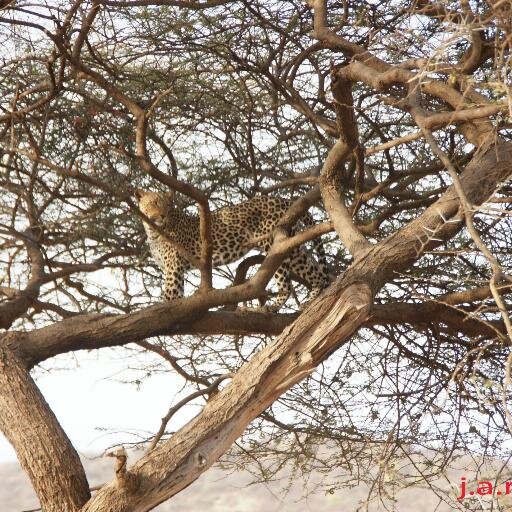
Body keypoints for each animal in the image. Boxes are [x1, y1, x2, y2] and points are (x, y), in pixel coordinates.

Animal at [135, 187, 328, 308]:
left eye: (167, 205)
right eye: (154, 203)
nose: (162, 215)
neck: (152, 231)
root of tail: (283, 200)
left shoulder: (173, 266)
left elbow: (170, 294)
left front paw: (161, 309)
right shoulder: (171, 267)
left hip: (275, 244)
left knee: (286, 284)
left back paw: (272, 307)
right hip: (293, 248)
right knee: (316, 272)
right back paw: (312, 298)